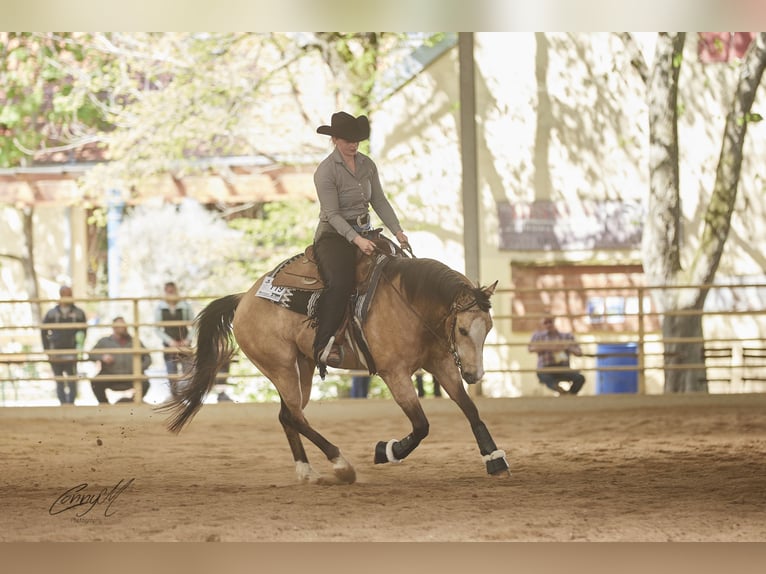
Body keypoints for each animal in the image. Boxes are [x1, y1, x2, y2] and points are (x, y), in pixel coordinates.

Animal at [160, 251, 510, 484]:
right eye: (462, 329)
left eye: (489, 327)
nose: (475, 375)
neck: (411, 302)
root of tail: (243, 299)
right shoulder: (395, 374)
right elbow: (421, 425)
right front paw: (386, 451)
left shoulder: (441, 364)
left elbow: (470, 410)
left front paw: (494, 458)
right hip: (280, 367)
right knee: (295, 416)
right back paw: (341, 464)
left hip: (301, 368)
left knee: (288, 415)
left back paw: (307, 471)